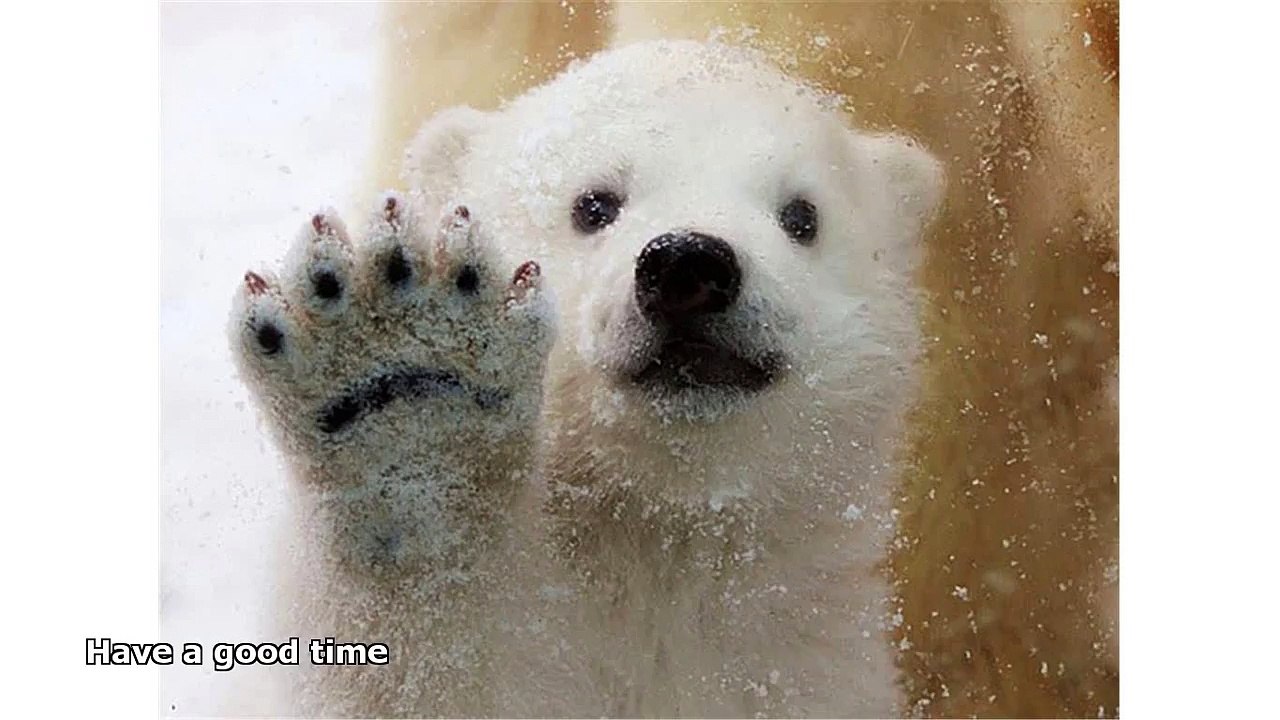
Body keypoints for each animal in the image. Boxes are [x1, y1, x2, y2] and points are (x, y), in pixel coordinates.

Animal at [231, 40, 942, 717]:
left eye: (802, 216)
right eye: (594, 204)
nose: (687, 265)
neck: (660, 535)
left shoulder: (808, 659)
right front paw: (403, 392)